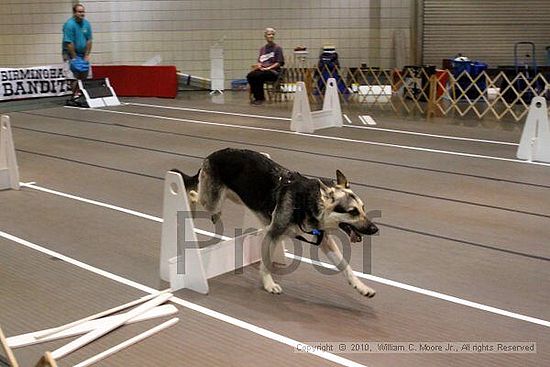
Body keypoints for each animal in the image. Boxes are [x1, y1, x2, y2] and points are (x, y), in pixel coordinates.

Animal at [172, 148, 380, 298]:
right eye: (353, 212)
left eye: (363, 208)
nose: (375, 229)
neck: (306, 202)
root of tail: (212, 155)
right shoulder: (272, 235)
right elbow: (265, 264)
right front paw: (269, 284)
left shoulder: (325, 241)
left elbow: (346, 266)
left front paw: (361, 286)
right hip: (212, 201)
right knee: (194, 194)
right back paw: (190, 203)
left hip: (236, 197)